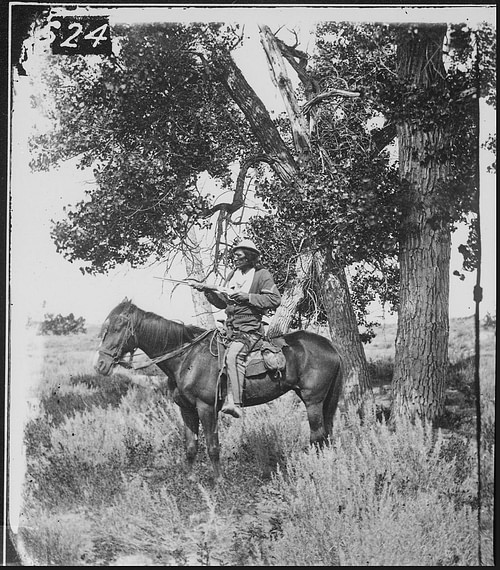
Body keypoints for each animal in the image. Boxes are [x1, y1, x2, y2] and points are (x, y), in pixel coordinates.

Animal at [94, 300, 344, 478]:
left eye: (118, 327)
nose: (101, 365)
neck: (186, 357)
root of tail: (331, 346)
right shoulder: (186, 409)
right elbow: (191, 446)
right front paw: (190, 479)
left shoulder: (206, 408)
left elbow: (212, 446)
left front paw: (218, 481)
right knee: (325, 434)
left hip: (313, 400)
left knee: (318, 435)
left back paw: (316, 469)